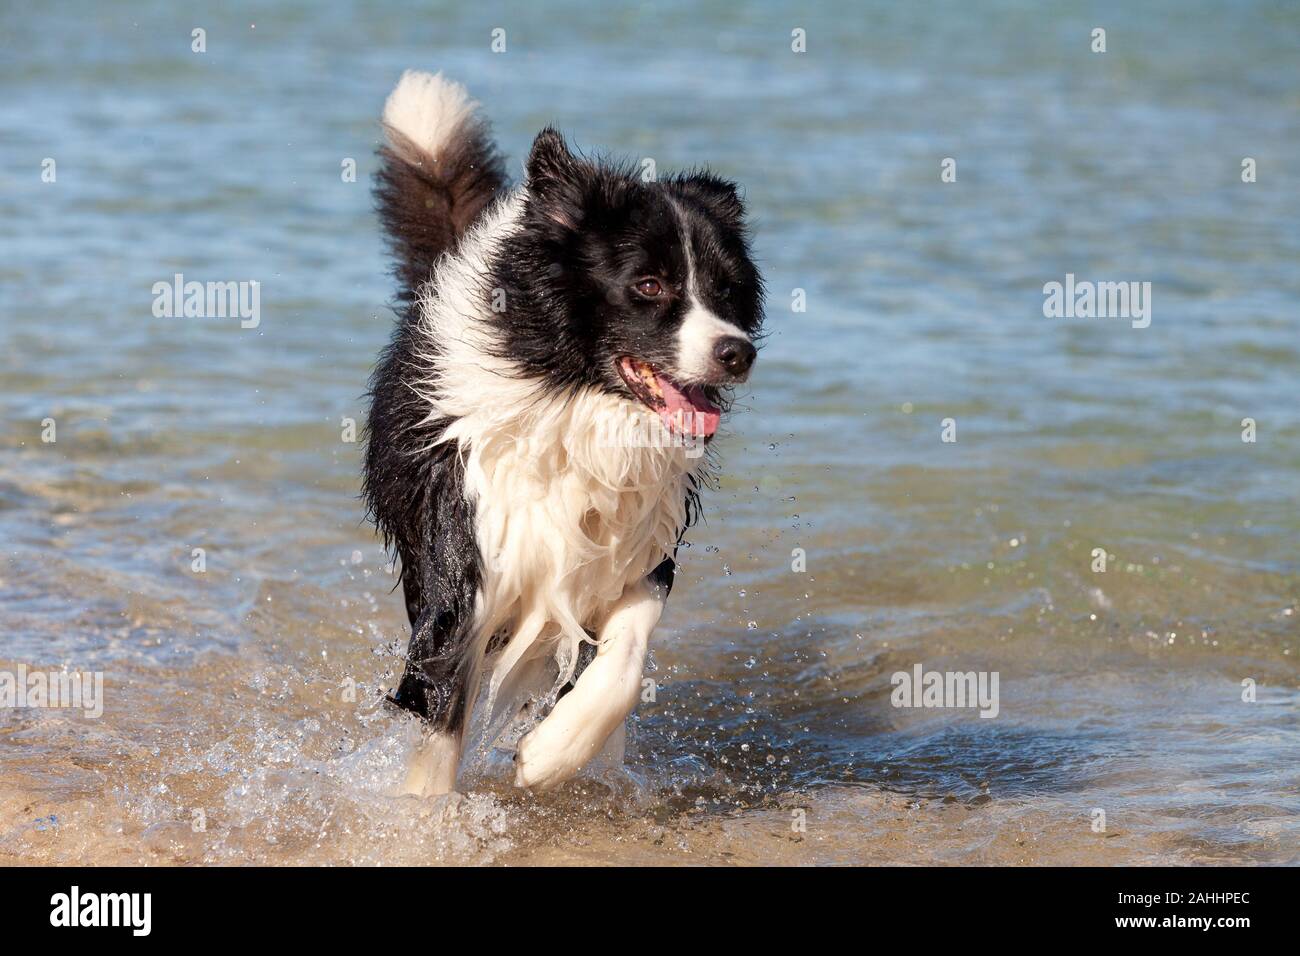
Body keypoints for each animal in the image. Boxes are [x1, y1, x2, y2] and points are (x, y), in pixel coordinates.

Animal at [361, 70, 759, 796]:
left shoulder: (637, 540)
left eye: (726, 290)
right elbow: (440, 718)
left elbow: (624, 656)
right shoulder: (471, 551)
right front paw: (425, 812)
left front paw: (552, 754)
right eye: (649, 284)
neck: (575, 400)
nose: (736, 352)